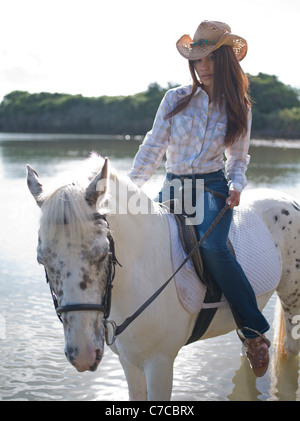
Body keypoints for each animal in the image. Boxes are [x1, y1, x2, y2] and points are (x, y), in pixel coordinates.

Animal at [26, 155, 300, 400]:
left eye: (103, 252)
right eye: (42, 260)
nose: (82, 355)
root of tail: (286, 199)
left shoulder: (160, 364)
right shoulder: (129, 363)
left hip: (291, 301)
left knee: (289, 348)